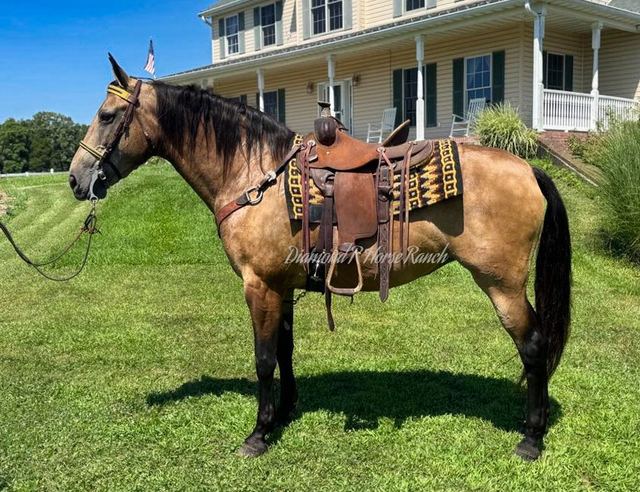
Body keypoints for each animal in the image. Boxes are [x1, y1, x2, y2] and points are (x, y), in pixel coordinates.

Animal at [68, 56, 571, 461]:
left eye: (107, 115)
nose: (75, 179)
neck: (254, 177)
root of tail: (529, 167)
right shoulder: (282, 286)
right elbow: (284, 350)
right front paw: (285, 411)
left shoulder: (259, 285)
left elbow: (263, 358)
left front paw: (259, 433)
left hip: (501, 284)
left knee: (533, 345)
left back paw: (531, 438)